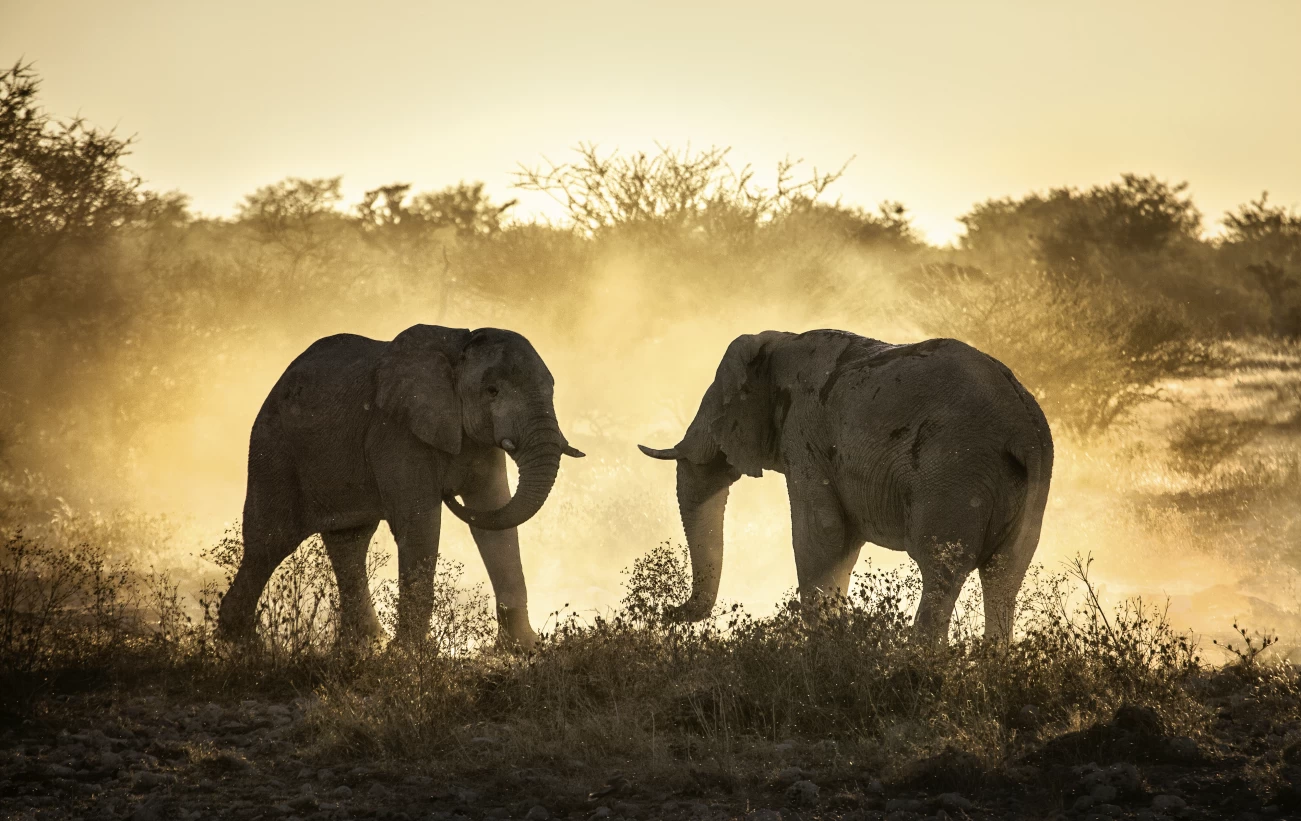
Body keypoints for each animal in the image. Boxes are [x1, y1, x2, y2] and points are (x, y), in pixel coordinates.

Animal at [217, 324, 584, 649]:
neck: (457, 350)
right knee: (270, 541)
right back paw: (245, 646)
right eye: (492, 391)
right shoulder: (395, 432)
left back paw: (364, 647)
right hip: (272, 449)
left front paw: (525, 649)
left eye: (551, 390)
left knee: (349, 542)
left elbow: (494, 515)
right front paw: (411, 656)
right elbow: (421, 524)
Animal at [639, 330, 1053, 643]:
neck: (779, 341)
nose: (667, 612)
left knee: (941, 567)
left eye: (715, 408)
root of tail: (1023, 427)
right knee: (1005, 573)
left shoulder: (804, 433)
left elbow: (821, 534)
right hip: (1027, 484)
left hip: (953, 471)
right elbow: (842, 542)